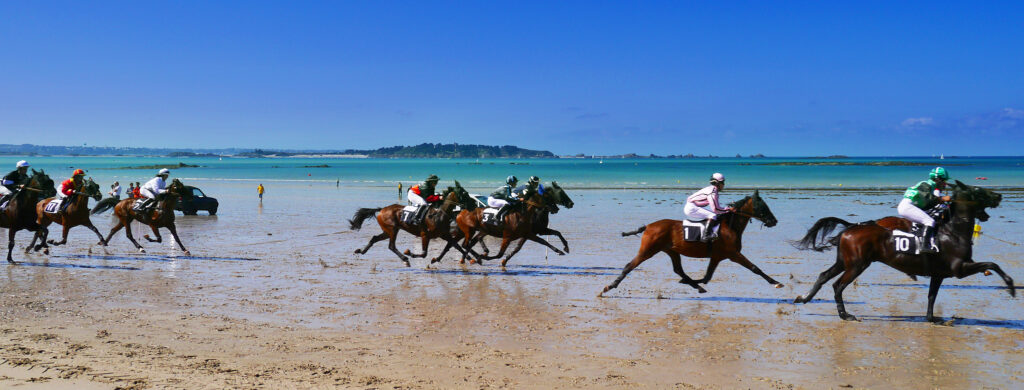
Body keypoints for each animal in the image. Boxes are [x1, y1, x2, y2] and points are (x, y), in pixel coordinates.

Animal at [348, 181, 479, 266]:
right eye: (465, 194)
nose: (474, 205)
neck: (439, 215)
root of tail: (381, 209)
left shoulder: (444, 234)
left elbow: (456, 245)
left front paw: (473, 258)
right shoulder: (425, 235)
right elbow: (424, 254)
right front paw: (410, 253)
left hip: (387, 230)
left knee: (375, 238)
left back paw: (361, 251)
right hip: (392, 229)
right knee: (391, 246)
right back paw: (405, 259)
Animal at [598, 190, 778, 296]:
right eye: (762, 206)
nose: (774, 221)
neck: (730, 226)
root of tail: (648, 226)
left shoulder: (717, 256)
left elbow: (707, 277)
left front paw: (693, 283)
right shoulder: (733, 254)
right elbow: (755, 268)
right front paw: (776, 283)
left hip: (671, 251)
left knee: (678, 270)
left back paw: (694, 285)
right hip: (648, 250)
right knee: (630, 265)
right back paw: (609, 287)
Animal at [790, 181, 1007, 321]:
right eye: (979, 191)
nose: (999, 195)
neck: (952, 232)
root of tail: (851, 228)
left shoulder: (939, 275)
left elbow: (931, 297)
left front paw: (931, 318)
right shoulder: (959, 269)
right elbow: (992, 264)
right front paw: (1010, 285)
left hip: (844, 262)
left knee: (824, 276)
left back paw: (805, 298)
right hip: (857, 265)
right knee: (838, 286)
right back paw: (845, 315)